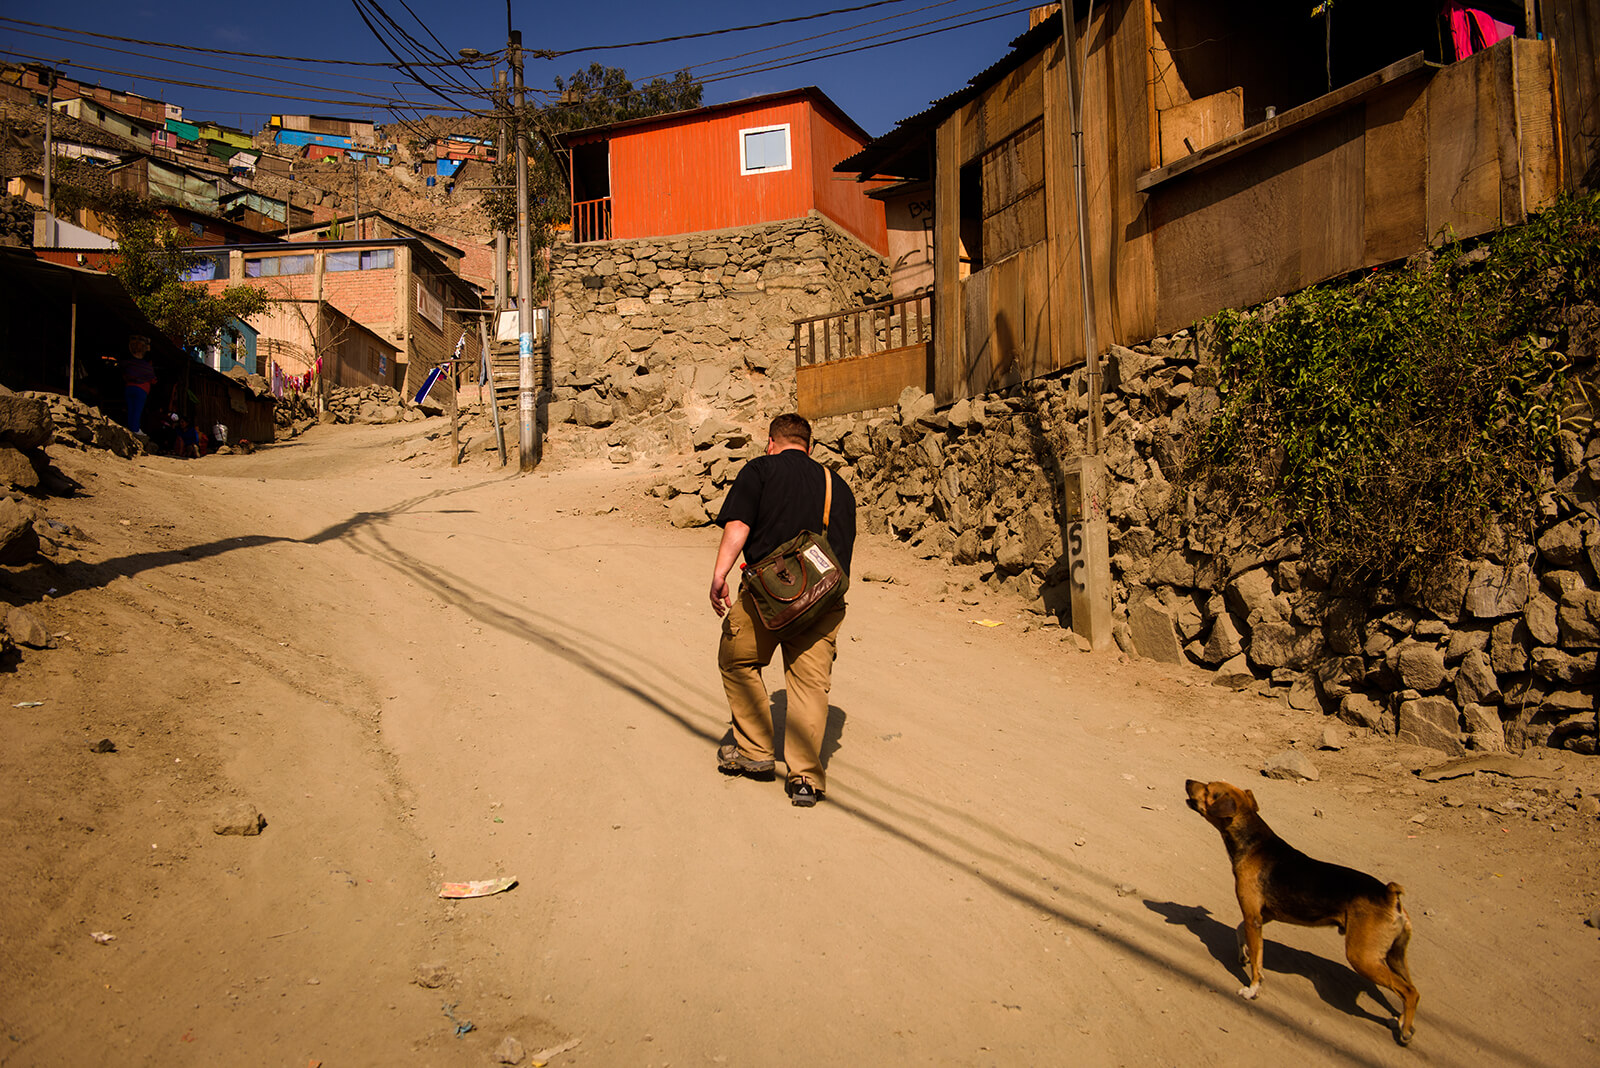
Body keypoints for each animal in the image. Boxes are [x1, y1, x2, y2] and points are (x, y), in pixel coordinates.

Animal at [1185, 779, 1419, 1045]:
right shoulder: (1262, 915)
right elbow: (1239, 931)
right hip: (1394, 955)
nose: (1188, 781)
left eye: (1208, 788)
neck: (1253, 843)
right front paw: (1242, 953)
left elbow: (1257, 961)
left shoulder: (1254, 916)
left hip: (1362, 957)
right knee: (1409, 988)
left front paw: (1252, 989)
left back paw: (1405, 1031)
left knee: (1409, 992)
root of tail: (1389, 895)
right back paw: (1400, 1021)